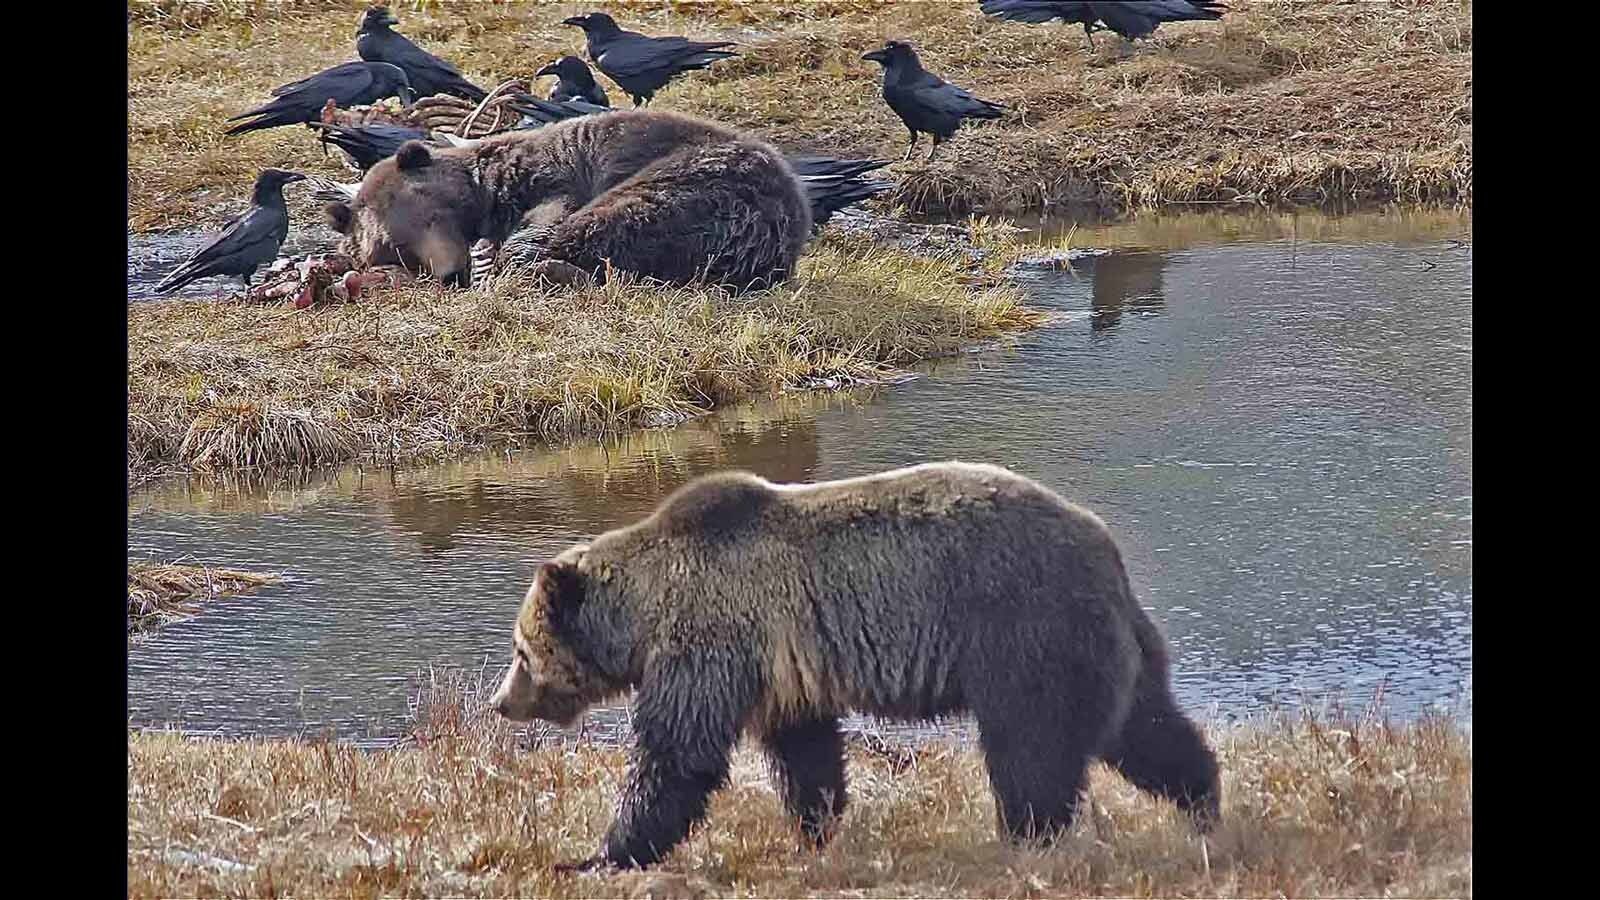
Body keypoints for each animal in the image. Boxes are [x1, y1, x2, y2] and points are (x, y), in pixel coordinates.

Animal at [324, 109, 812, 291]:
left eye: (430, 216)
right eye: (395, 248)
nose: (450, 271)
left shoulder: (552, 174)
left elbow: (551, 214)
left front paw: (500, 256)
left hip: (700, 182)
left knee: (617, 219)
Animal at [489, 461, 1220, 870]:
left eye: (521, 652)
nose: (501, 701)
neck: (644, 616)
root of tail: (1107, 550)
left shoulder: (712, 641)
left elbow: (678, 753)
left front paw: (600, 854)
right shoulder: (782, 668)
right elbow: (804, 751)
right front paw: (817, 829)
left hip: (1023, 631)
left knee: (1031, 751)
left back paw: (1022, 838)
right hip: (1103, 645)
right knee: (1144, 729)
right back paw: (1204, 805)